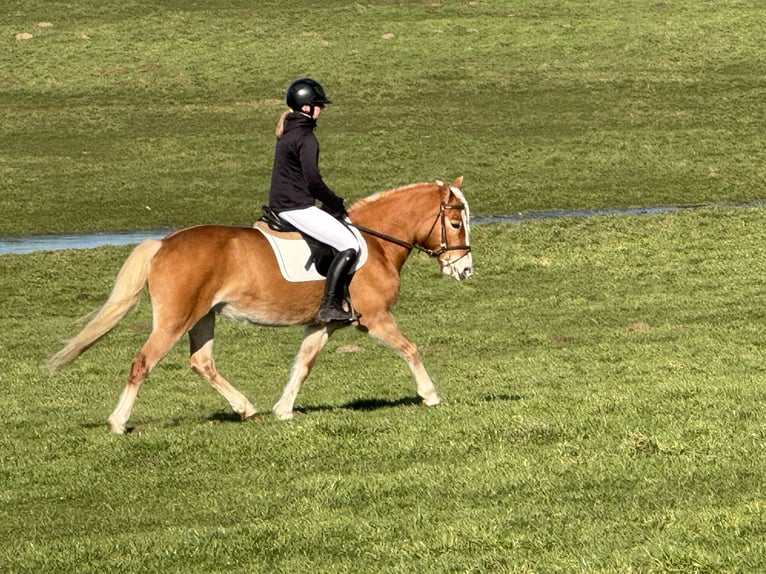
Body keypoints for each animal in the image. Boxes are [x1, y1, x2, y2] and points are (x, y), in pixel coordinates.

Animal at [48, 178, 474, 434]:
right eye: (455, 223)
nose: (464, 269)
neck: (376, 243)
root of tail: (164, 243)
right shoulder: (374, 318)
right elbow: (410, 349)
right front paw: (430, 394)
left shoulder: (323, 323)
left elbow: (303, 364)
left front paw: (283, 410)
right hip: (174, 320)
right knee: (143, 363)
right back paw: (119, 422)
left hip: (203, 317)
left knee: (202, 362)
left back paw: (246, 408)